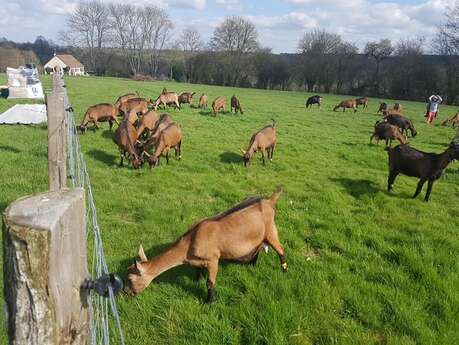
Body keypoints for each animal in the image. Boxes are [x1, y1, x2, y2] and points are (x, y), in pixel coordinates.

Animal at [124, 185, 286, 300]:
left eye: (131, 279)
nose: (125, 292)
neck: (190, 243)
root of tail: (269, 201)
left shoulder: (213, 260)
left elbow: (209, 283)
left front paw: (209, 301)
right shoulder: (197, 261)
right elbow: (197, 271)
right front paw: (195, 281)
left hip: (271, 230)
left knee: (281, 249)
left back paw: (284, 270)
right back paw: (252, 264)